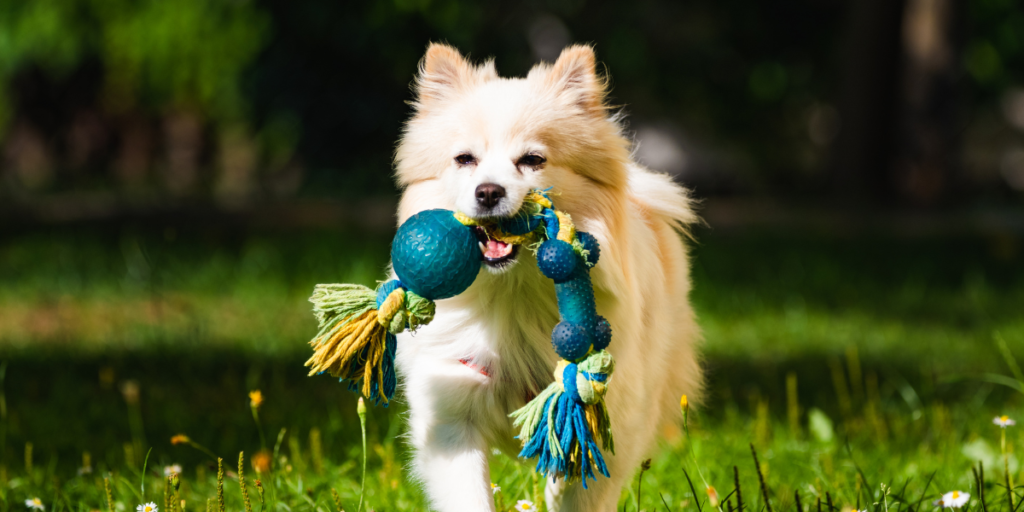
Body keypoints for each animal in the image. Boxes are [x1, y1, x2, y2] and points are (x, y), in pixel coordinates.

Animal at [391, 43, 704, 512]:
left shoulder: (601, 419)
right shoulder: (452, 415)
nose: (488, 191)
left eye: (532, 160)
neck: (513, 293)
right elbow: (471, 496)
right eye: (465, 160)